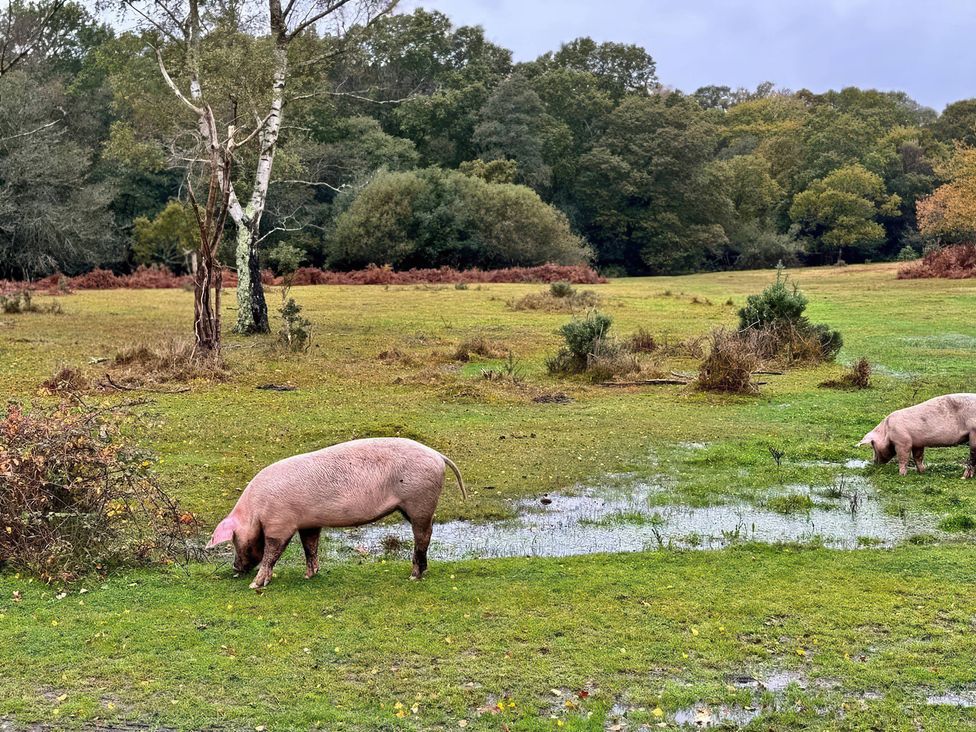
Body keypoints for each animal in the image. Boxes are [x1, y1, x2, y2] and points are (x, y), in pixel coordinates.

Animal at [206, 438, 466, 588]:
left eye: (233, 539)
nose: (235, 568)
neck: (256, 510)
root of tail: (437, 455)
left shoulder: (280, 524)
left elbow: (272, 553)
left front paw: (256, 585)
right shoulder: (308, 523)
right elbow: (310, 547)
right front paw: (309, 576)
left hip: (419, 501)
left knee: (423, 536)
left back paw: (414, 576)